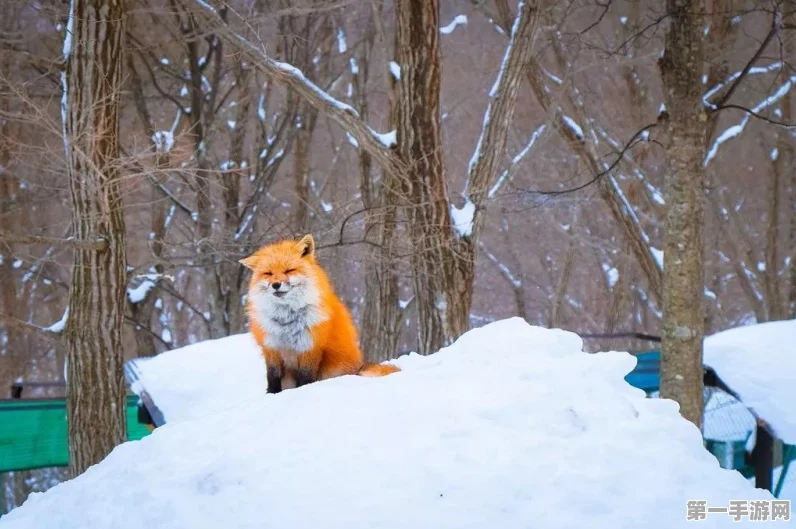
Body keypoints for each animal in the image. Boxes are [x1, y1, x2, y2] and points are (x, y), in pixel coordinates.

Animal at [236, 235, 398, 392]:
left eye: (289, 270)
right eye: (268, 273)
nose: (276, 285)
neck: (287, 321)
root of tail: (357, 366)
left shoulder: (310, 347)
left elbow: (305, 379)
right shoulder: (271, 347)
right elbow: (272, 377)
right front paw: (272, 394)